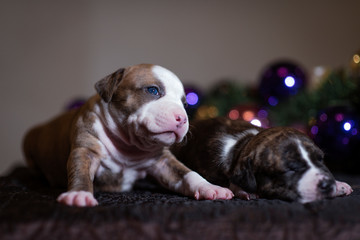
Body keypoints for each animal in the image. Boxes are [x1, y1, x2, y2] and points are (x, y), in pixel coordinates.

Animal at [171, 116, 352, 202]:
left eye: (320, 159)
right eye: (290, 169)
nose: (327, 185)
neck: (244, 145)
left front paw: (339, 184)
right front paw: (245, 191)